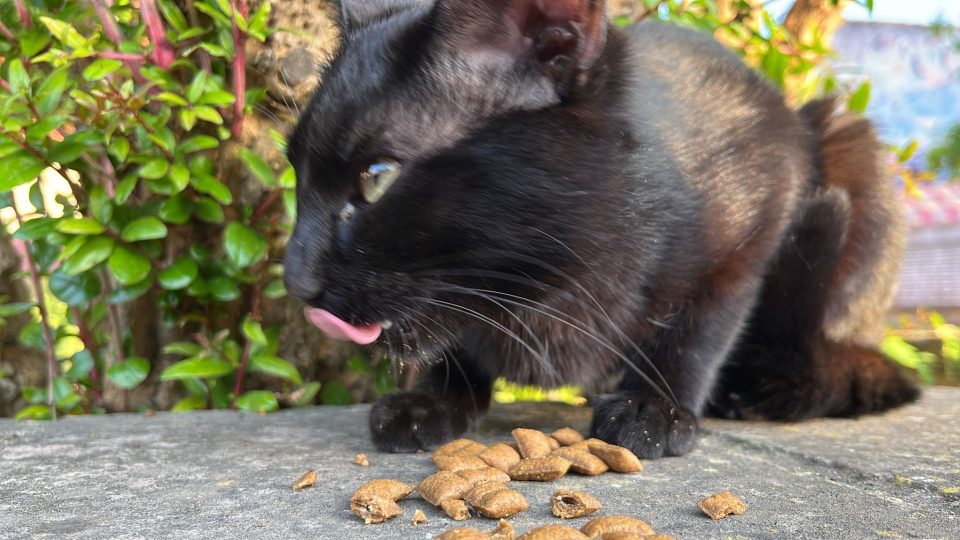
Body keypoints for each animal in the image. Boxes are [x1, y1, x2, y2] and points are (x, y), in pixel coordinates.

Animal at [282, 0, 920, 458]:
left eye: (379, 178)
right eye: (295, 170)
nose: (295, 281)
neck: (546, 285)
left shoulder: (755, 225)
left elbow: (701, 326)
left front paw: (654, 408)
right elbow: (457, 340)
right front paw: (431, 401)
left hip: (849, 140)